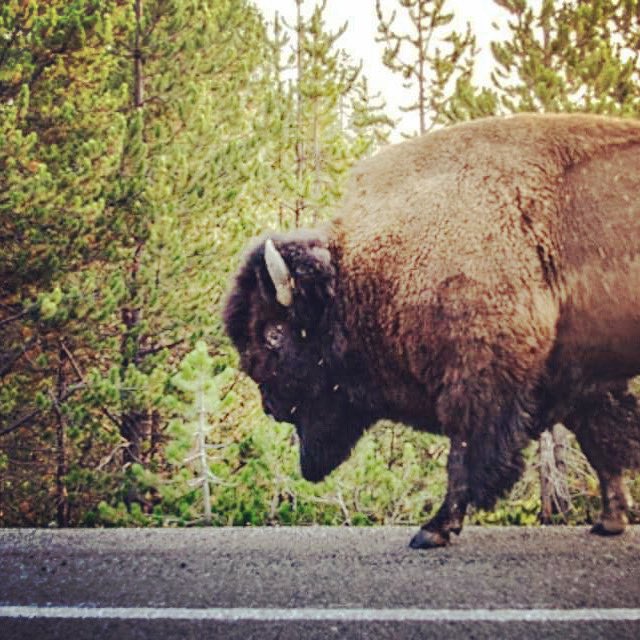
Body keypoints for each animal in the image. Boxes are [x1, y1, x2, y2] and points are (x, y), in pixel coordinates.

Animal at [224, 113, 640, 549]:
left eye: (273, 332)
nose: (270, 406)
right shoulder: (584, 375)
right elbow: (603, 441)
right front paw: (610, 520)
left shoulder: (477, 378)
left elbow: (464, 454)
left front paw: (433, 529)